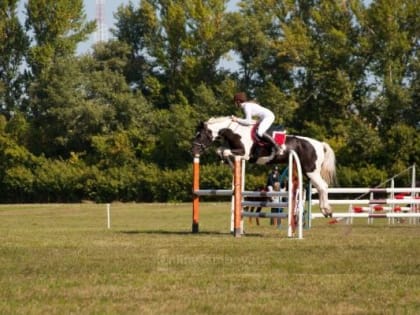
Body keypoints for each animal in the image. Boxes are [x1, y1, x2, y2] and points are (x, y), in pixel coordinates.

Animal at [192, 116, 336, 217]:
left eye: (200, 135)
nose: (193, 150)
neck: (236, 132)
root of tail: (319, 144)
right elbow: (220, 150)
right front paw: (226, 162)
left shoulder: (245, 154)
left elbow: (226, 152)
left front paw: (229, 162)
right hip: (308, 171)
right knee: (320, 187)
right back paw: (326, 211)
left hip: (310, 170)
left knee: (323, 186)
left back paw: (327, 211)